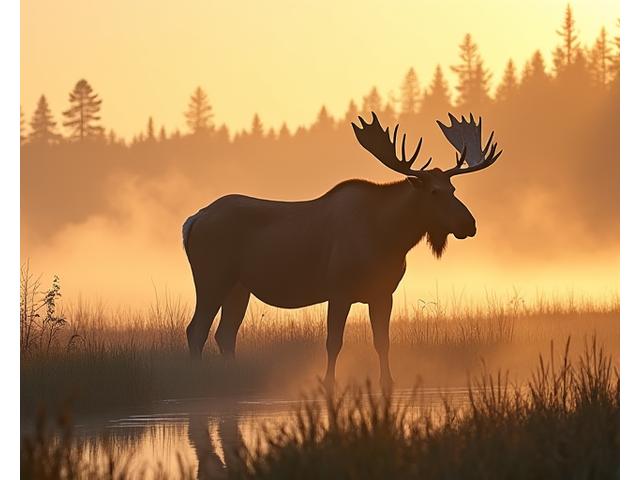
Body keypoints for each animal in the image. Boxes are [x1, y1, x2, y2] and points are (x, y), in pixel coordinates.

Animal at [182, 112, 502, 390]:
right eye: (434, 192)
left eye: (453, 190)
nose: (469, 224)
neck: (389, 238)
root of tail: (193, 220)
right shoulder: (339, 290)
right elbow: (333, 341)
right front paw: (328, 382)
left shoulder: (383, 292)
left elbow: (382, 341)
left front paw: (388, 381)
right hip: (212, 276)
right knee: (196, 329)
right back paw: (198, 380)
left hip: (239, 286)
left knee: (225, 333)